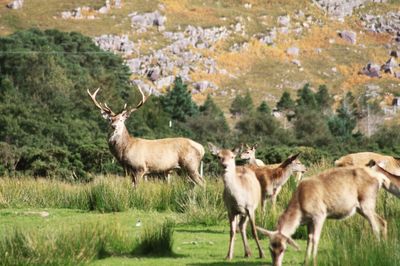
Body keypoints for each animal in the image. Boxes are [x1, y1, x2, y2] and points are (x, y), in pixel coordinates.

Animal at [256, 166, 390, 266]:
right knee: (383, 221)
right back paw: (384, 247)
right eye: (270, 248)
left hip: (367, 202)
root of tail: (381, 178)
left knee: (375, 226)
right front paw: (306, 261)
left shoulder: (319, 214)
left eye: (283, 248)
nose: (276, 264)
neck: (300, 207)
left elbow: (315, 238)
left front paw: (314, 261)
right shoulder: (309, 220)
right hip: (360, 208)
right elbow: (309, 238)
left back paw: (377, 249)